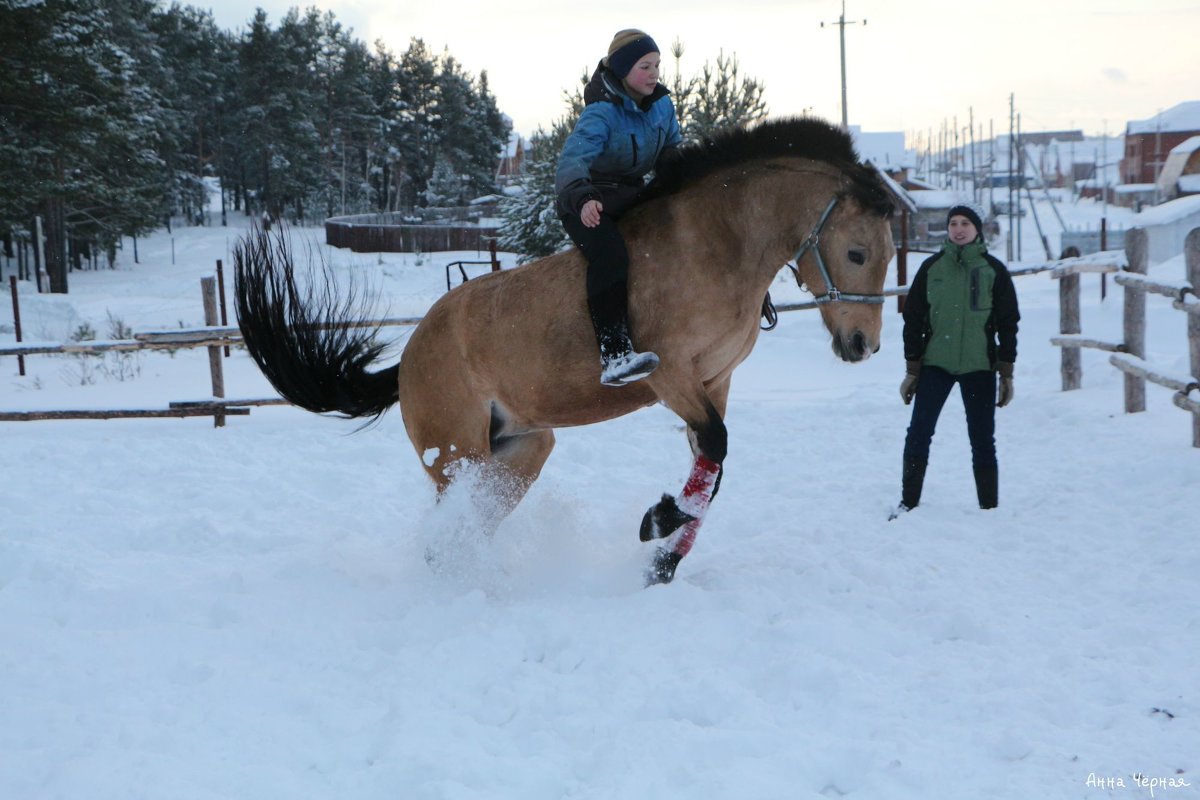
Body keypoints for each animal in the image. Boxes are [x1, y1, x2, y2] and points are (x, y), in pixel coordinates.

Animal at [234, 115, 897, 585]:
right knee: (453, 528)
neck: (714, 244)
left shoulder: (715, 381)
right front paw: (656, 524)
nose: (862, 345)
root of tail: (410, 358)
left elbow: (711, 473)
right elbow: (714, 451)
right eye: (857, 252)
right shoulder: (671, 376)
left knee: (467, 527)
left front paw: (662, 561)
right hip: (455, 455)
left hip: (520, 453)